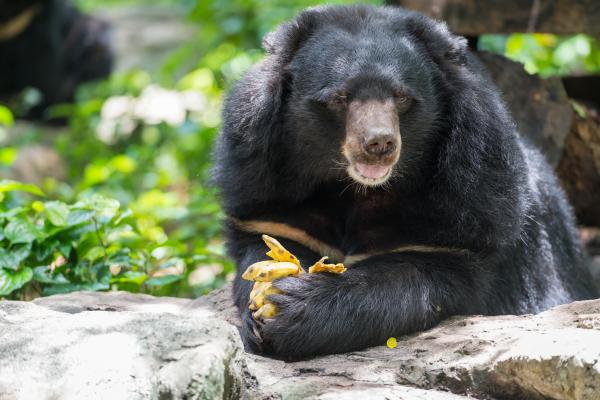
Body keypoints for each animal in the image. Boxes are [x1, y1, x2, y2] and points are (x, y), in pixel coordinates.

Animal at [213, 3, 596, 360]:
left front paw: (290, 310)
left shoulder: (470, 202)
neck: (356, 190)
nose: (379, 144)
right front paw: (262, 307)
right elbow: (267, 242)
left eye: (401, 97)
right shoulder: (264, 185)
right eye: (340, 98)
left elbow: (405, 280)